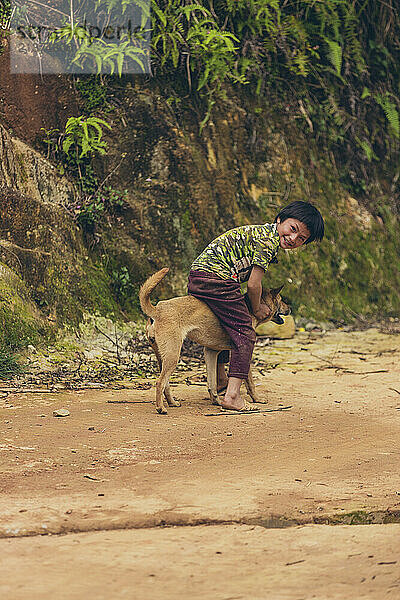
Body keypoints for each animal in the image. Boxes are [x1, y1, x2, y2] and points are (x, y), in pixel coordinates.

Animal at [139, 270, 290, 414]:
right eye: (281, 300)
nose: (290, 308)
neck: (250, 307)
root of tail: (157, 310)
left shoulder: (211, 351)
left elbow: (211, 383)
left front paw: (215, 400)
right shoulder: (243, 350)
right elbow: (250, 382)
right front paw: (257, 399)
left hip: (163, 357)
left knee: (166, 384)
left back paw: (172, 402)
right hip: (173, 356)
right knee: (160, 382)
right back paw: (161, 408)